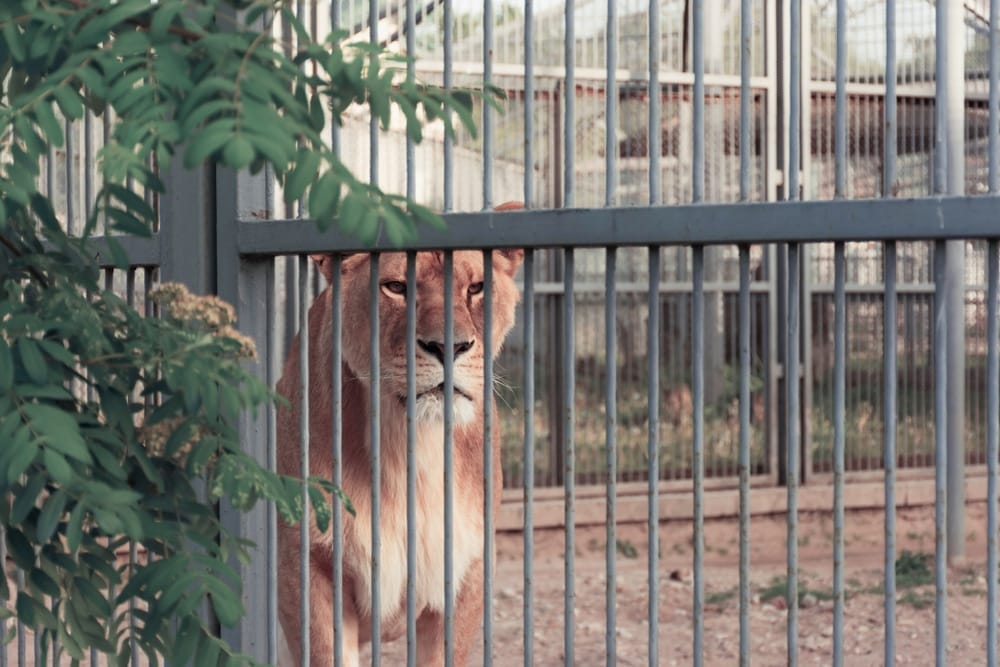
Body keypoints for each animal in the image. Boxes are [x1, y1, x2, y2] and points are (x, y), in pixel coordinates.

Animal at [276, 212, 524, 666]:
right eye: (396, 287)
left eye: (476, 288)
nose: (449, 346)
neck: (411, 444)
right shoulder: (309, 567)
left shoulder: (465, 570)